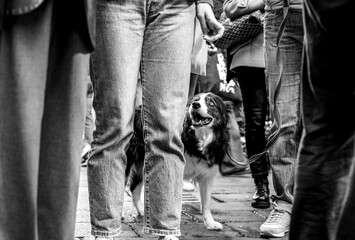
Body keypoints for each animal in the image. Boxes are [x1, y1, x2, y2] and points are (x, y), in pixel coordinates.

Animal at [125, 92, 234, 231]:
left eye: (211, 103)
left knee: (134, 187)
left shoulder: (207, 175)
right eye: (195, 100)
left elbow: (206, 203)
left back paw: (142, 211)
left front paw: (210, 223)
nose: (195, 105)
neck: (199, 139)